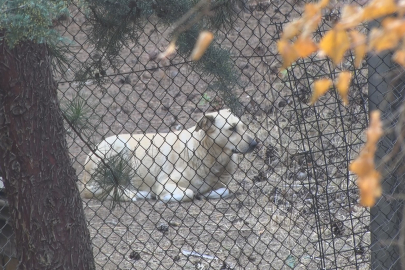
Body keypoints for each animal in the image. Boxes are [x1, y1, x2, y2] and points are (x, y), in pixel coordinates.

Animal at [79, 108, 256, 201]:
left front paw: (208, 193)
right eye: (231, 129)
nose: (255, 144)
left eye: (243, 126)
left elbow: (224, 190)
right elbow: (189, 192)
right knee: (100, 191)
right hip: (119, 147)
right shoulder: (165, 183)